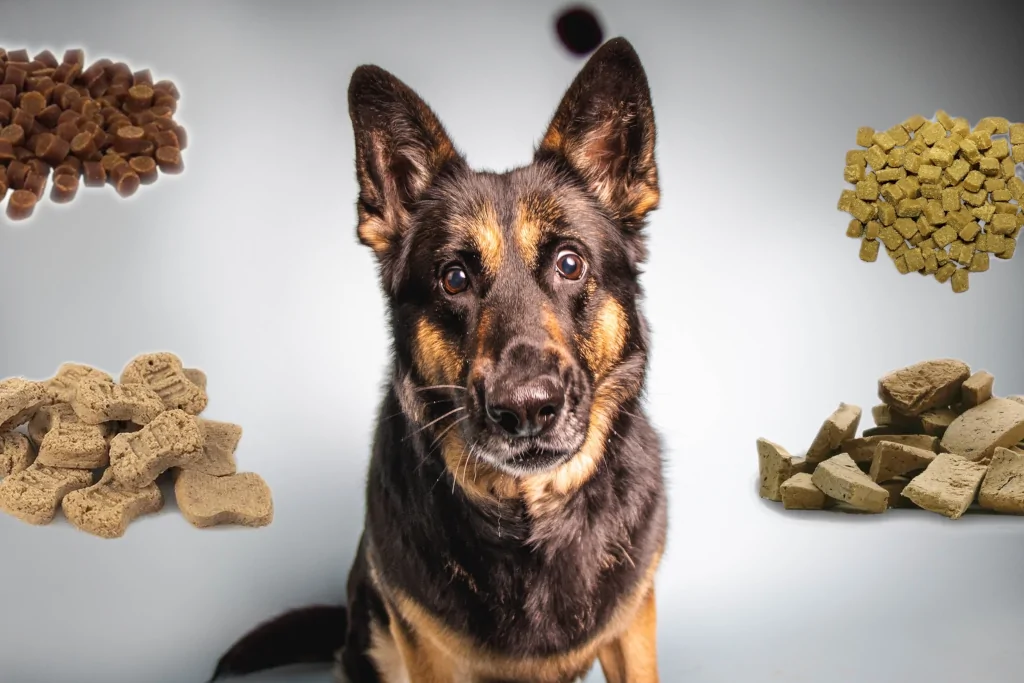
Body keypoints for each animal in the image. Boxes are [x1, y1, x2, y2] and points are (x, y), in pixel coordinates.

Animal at [211, 36, 667, 683]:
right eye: (454, 279)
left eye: (570, 264)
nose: (526, 409)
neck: (530, 514)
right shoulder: (426, 649)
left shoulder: (633, 628)